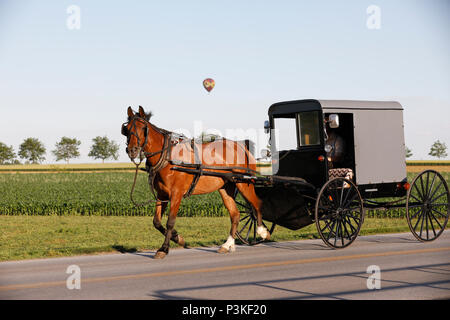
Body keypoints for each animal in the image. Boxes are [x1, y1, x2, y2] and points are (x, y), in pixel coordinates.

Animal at [122, 106, 270, 258]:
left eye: (143, 127)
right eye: (126, 129)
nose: (132, 150)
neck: (168, 158)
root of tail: (241, 146)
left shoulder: (176, 194)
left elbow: (170, 222)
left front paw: (164, 248)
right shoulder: (162, 195)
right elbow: (156, 222)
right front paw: (177, 238)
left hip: (245, 183)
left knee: (256, 205)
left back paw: (262, 232)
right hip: (226, 187)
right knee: (235, 215)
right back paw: (227, 244)